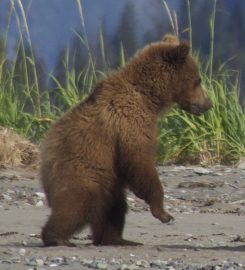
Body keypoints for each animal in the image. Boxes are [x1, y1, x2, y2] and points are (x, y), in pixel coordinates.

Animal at [39, 34, 212, 247]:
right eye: (198, 79)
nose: (208, 104)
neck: (149, 98)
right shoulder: (129, 122)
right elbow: (139, 161)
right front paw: (163, 213)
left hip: (108, 180)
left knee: (114, 208)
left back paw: (117, 239)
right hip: (82, 169)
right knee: (77, 203)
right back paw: (57, 237)